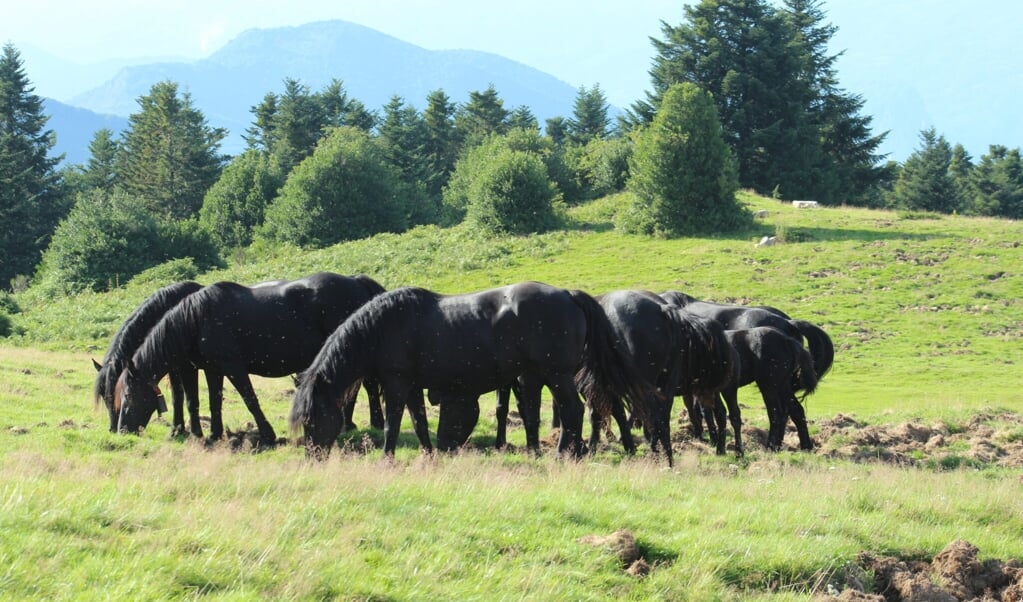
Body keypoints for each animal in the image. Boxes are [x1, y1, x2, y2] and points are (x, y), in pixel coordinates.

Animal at [94, 280, 203, 434]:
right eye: (104, 397)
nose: (113, 429)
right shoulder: (172, 369)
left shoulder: (183, 368)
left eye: (117, 392)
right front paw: (177, 430)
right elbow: (177, 397)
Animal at [117, 270, 386, 444]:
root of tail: (357, 282)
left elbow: (250, 399)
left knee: (368, 386)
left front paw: (267, 435)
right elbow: (214, 401)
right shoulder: (213, 370)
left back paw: (371, 423)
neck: (198, 319)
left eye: (128, 395)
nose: (121, 430)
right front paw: (214, 434)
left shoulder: (233, 367)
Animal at [290, 280, 654, 456]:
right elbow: (420, 423)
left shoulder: (396, 384)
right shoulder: (411, 386)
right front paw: (428, 454)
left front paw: (387, 458)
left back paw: (565, 454)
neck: (384, 327)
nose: (312, 456)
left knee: (573, 411)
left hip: (558, 375)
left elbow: (393, 424)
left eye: (311, 419)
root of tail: (568, 294)